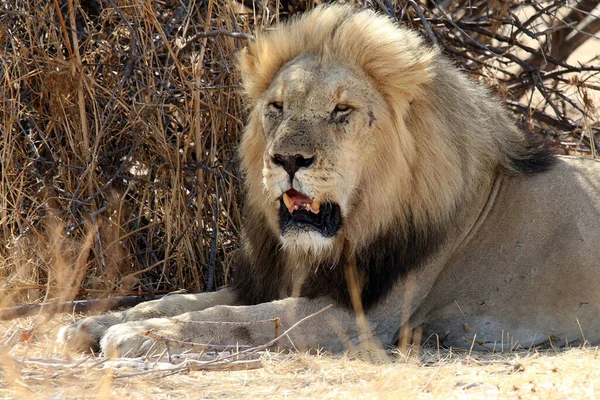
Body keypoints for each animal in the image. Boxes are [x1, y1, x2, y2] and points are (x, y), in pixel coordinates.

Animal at [56, 5, 600, 356]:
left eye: (342, 111)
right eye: (277, 106)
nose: (287, 159)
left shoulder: (361, 318)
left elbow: (240, 322)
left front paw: (140, 336)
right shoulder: (269, 280)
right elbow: (183, 300)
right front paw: (93, 323)